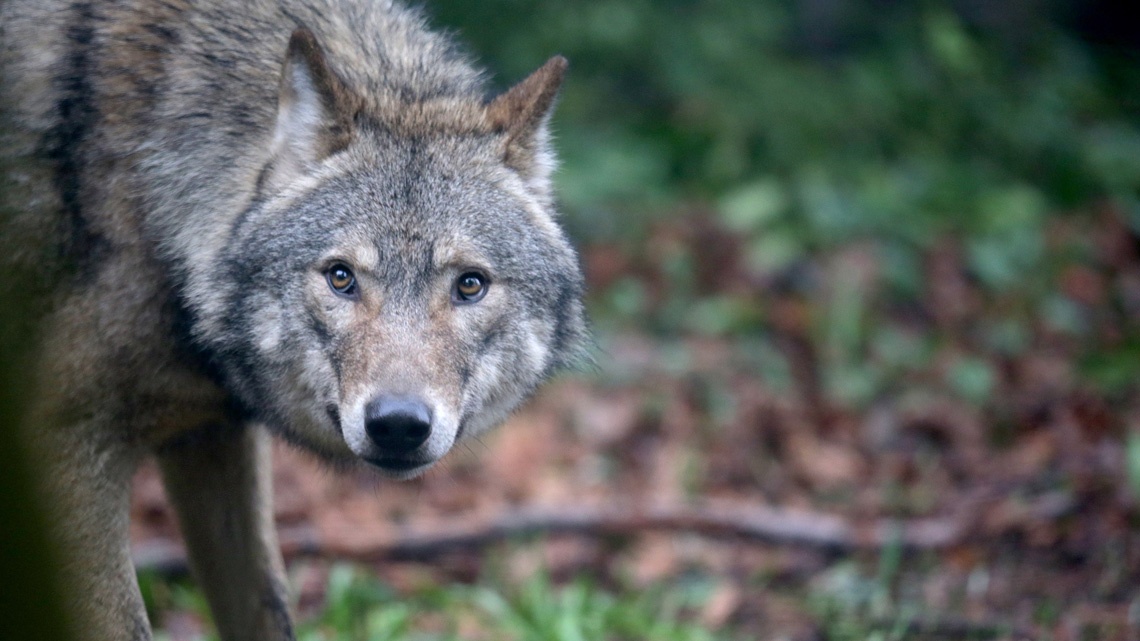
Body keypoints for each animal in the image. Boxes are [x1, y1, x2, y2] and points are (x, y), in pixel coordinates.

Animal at [0, 0, 588, 634]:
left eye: (470, 285)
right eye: (341, 277)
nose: (398, 424)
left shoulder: (213, 435)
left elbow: (265, 609)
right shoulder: (65, 444)